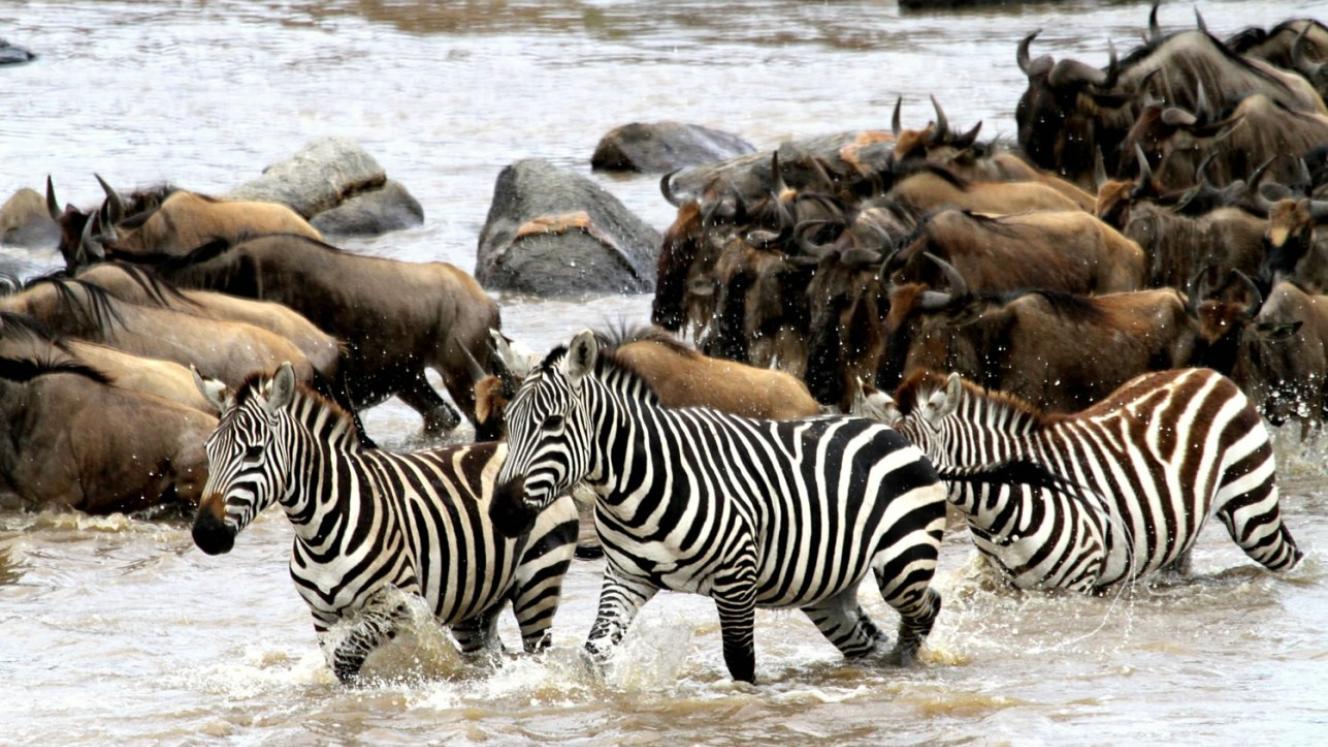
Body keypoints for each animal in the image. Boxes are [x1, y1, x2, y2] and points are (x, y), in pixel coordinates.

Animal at [189, 363, 579, 682]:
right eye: (209, 450)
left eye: (253, 452)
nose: (206, 533)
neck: (318, 529)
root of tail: (508, 449)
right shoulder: (322, 615)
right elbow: (338, 663)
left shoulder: (399, 603)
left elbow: (346, 657)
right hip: (477, 602)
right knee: (487, 654)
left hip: (538, 579)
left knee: (538, 649)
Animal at [488, 330, 948, 684]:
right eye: (506, 422)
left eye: (553, 423)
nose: (501, 513)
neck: (637, 486)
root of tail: (890, 432)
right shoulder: (625, 577)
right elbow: (593, 651)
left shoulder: (737, 577)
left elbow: (740, 662)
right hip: (827, 590)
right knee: (866, 640)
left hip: (902, 563)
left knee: (926, 607)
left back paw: (906, 665)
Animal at [859, 368, 1303, 591]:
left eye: (917, 466)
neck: (996, 508)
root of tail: (1210, 373)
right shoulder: (1007, 588)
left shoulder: (1076, 587)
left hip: (1252, 511)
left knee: (1287, 555)